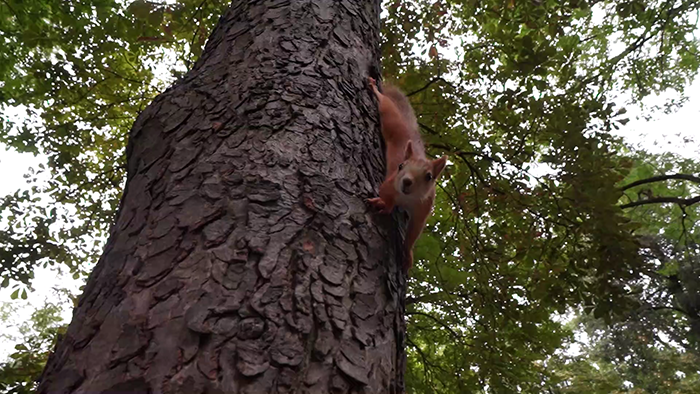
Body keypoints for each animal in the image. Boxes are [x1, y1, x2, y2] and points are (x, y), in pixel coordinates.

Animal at [366, 77, 448, 274]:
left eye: (429, 176)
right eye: (401, 166)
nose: (406, 181)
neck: (407, 198)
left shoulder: (424, 208)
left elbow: (414, 232)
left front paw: (407, 253)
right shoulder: (390, 183)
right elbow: (385, 195)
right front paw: (384, 204)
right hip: (392, 119)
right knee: (385, 104)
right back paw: (375, 89)